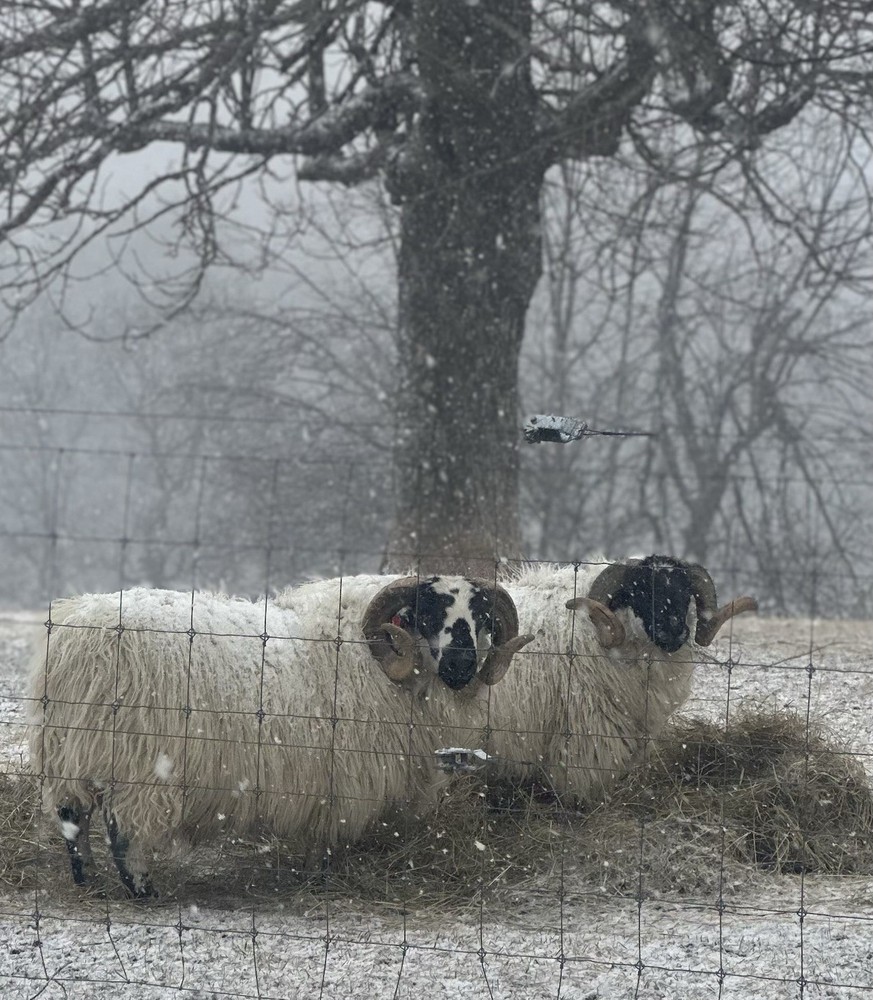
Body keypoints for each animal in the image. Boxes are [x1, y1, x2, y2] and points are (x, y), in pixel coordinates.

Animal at [28, 575, 532, 898]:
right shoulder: (342, 775)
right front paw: (321, 878)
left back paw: (87, 880)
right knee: (124, 830)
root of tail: (78, 642)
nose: (462, 666)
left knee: (72, 815)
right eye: (427, 615)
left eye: (481, 616)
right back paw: (142, 889)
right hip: (138, 759)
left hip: (67, 749)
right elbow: (328, 837)